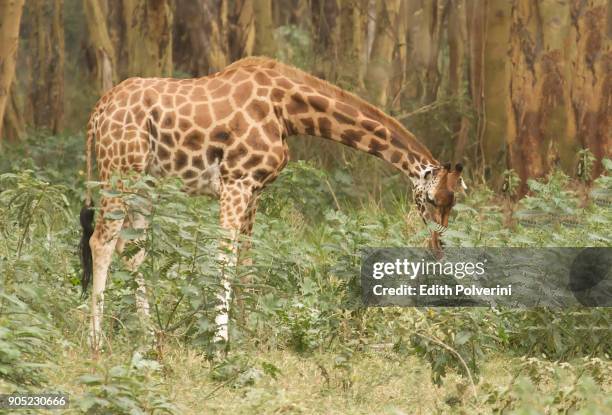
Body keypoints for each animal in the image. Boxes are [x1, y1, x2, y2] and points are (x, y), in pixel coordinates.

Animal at [80, 57, 464, 352]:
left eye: (453, 204)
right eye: (430, 199)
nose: (438, 248)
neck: (289, 111)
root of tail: (97, 111)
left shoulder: (254, 190)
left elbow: (247, 261)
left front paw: (250, 333)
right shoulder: (235, 181)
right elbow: (224, 258)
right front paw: (219, 343)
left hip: (145, 183)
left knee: (132, 249)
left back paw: (148, 337)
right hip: (120, 171)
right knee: (101, 241)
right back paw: (96, 342)